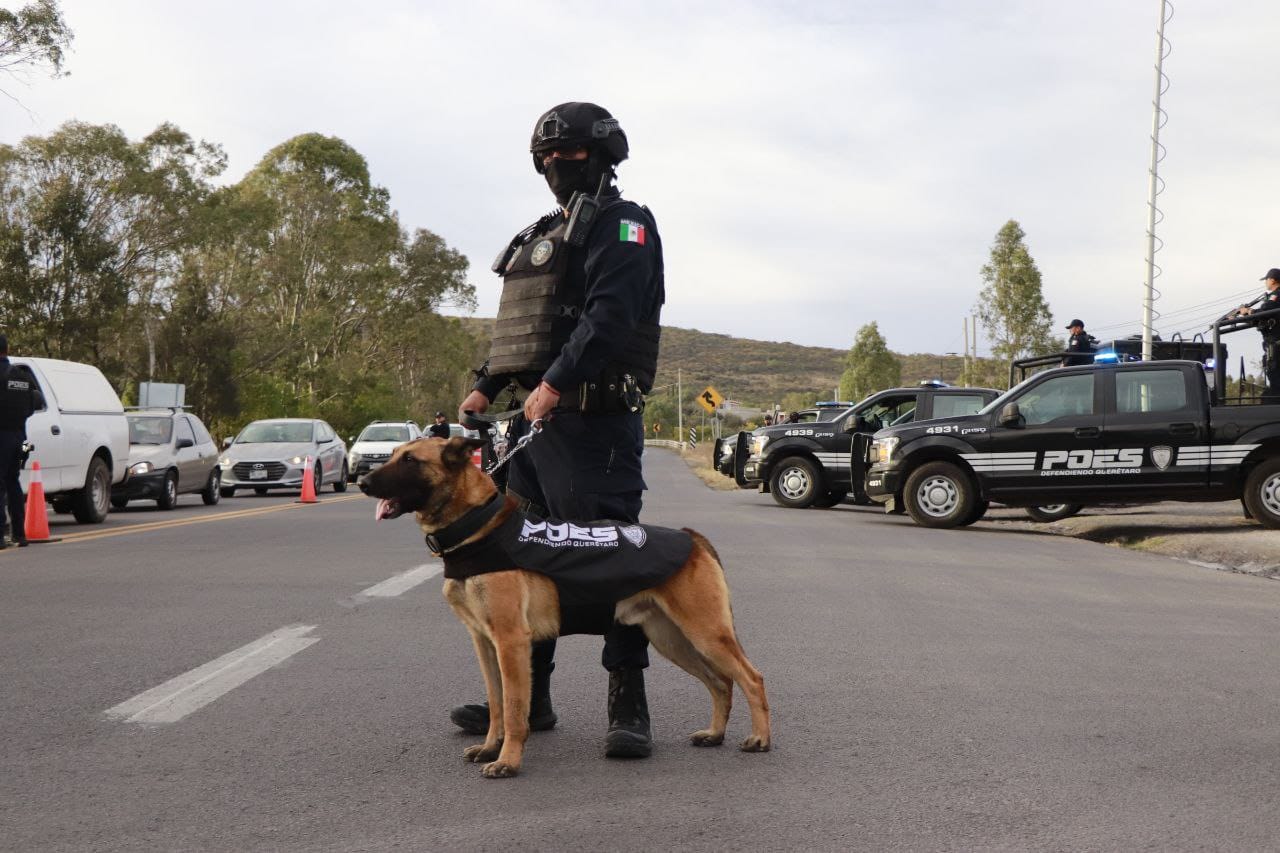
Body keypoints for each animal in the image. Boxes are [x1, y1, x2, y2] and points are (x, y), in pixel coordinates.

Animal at [360, 435, 768, 773]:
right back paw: (715, 734)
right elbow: (496, 702)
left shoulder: (510, 642)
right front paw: (490, 747)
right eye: (393, 454)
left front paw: (508, 760)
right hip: (674, 640)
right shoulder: (484, 643)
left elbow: (514, 708)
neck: (476, 525)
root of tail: (692, 537)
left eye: (410, 460)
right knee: (721, 683)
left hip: (705, 633)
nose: (362, 482)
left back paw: (761, 738)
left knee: (751, 678)